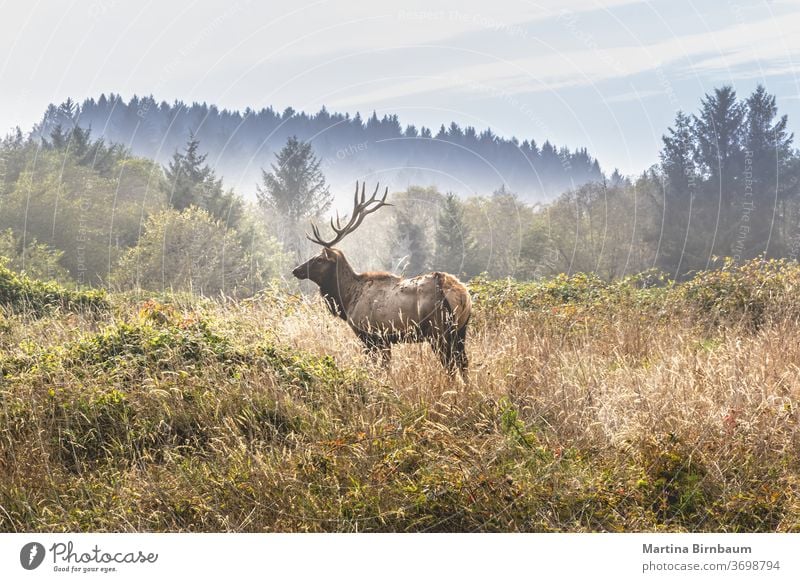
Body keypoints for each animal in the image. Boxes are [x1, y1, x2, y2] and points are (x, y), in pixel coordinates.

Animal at [292, 180, 468, 378]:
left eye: (319, 259)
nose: (296, 270)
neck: (347, 299)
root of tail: (462, 295)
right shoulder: (384, 339)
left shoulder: (371, 335)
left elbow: (378, 368)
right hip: (461, 330)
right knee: (463, 363)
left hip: (438, 330)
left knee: (450, 365)